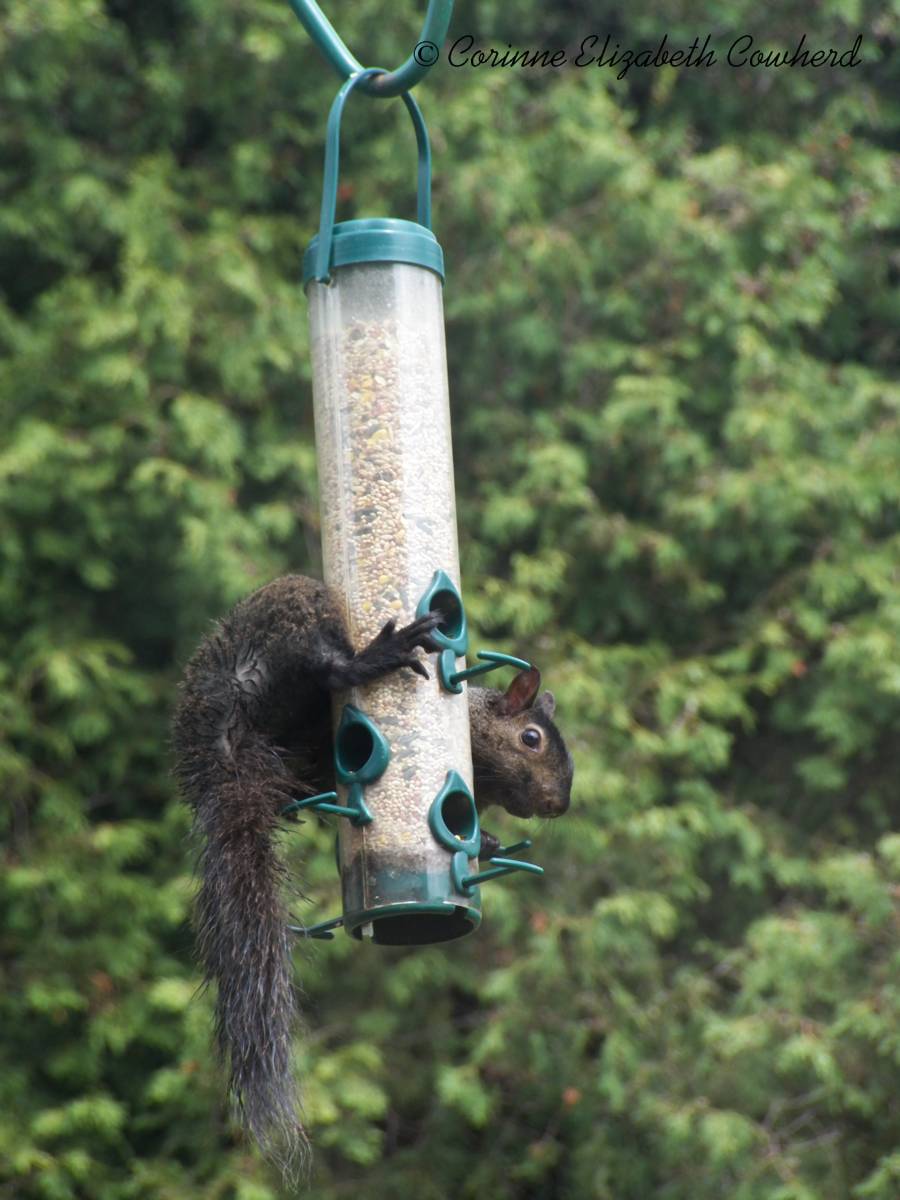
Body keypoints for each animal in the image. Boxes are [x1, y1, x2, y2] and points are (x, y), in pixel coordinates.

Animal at [172, 574, 573, 1171]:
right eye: (531, 738)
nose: (558, 804)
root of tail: (225, 763)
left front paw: (488, 841)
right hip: (281, 638)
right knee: (327, 670)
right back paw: (377, 656)